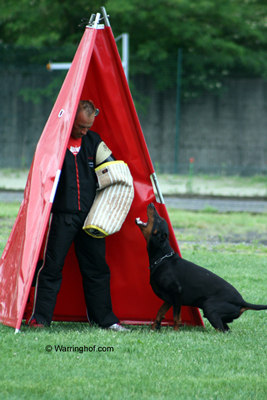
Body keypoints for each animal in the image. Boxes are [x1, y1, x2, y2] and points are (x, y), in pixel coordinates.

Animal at [137, 203, 266, 332]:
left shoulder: (176, 293)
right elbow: (160, 313)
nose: (151, 204)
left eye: (159, 219)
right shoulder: (169, 299)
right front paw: (154, 328)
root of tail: (242, 301)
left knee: (221, 330)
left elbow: (176, 318)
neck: (163, 258)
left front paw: (175, 331)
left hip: (209, 308)